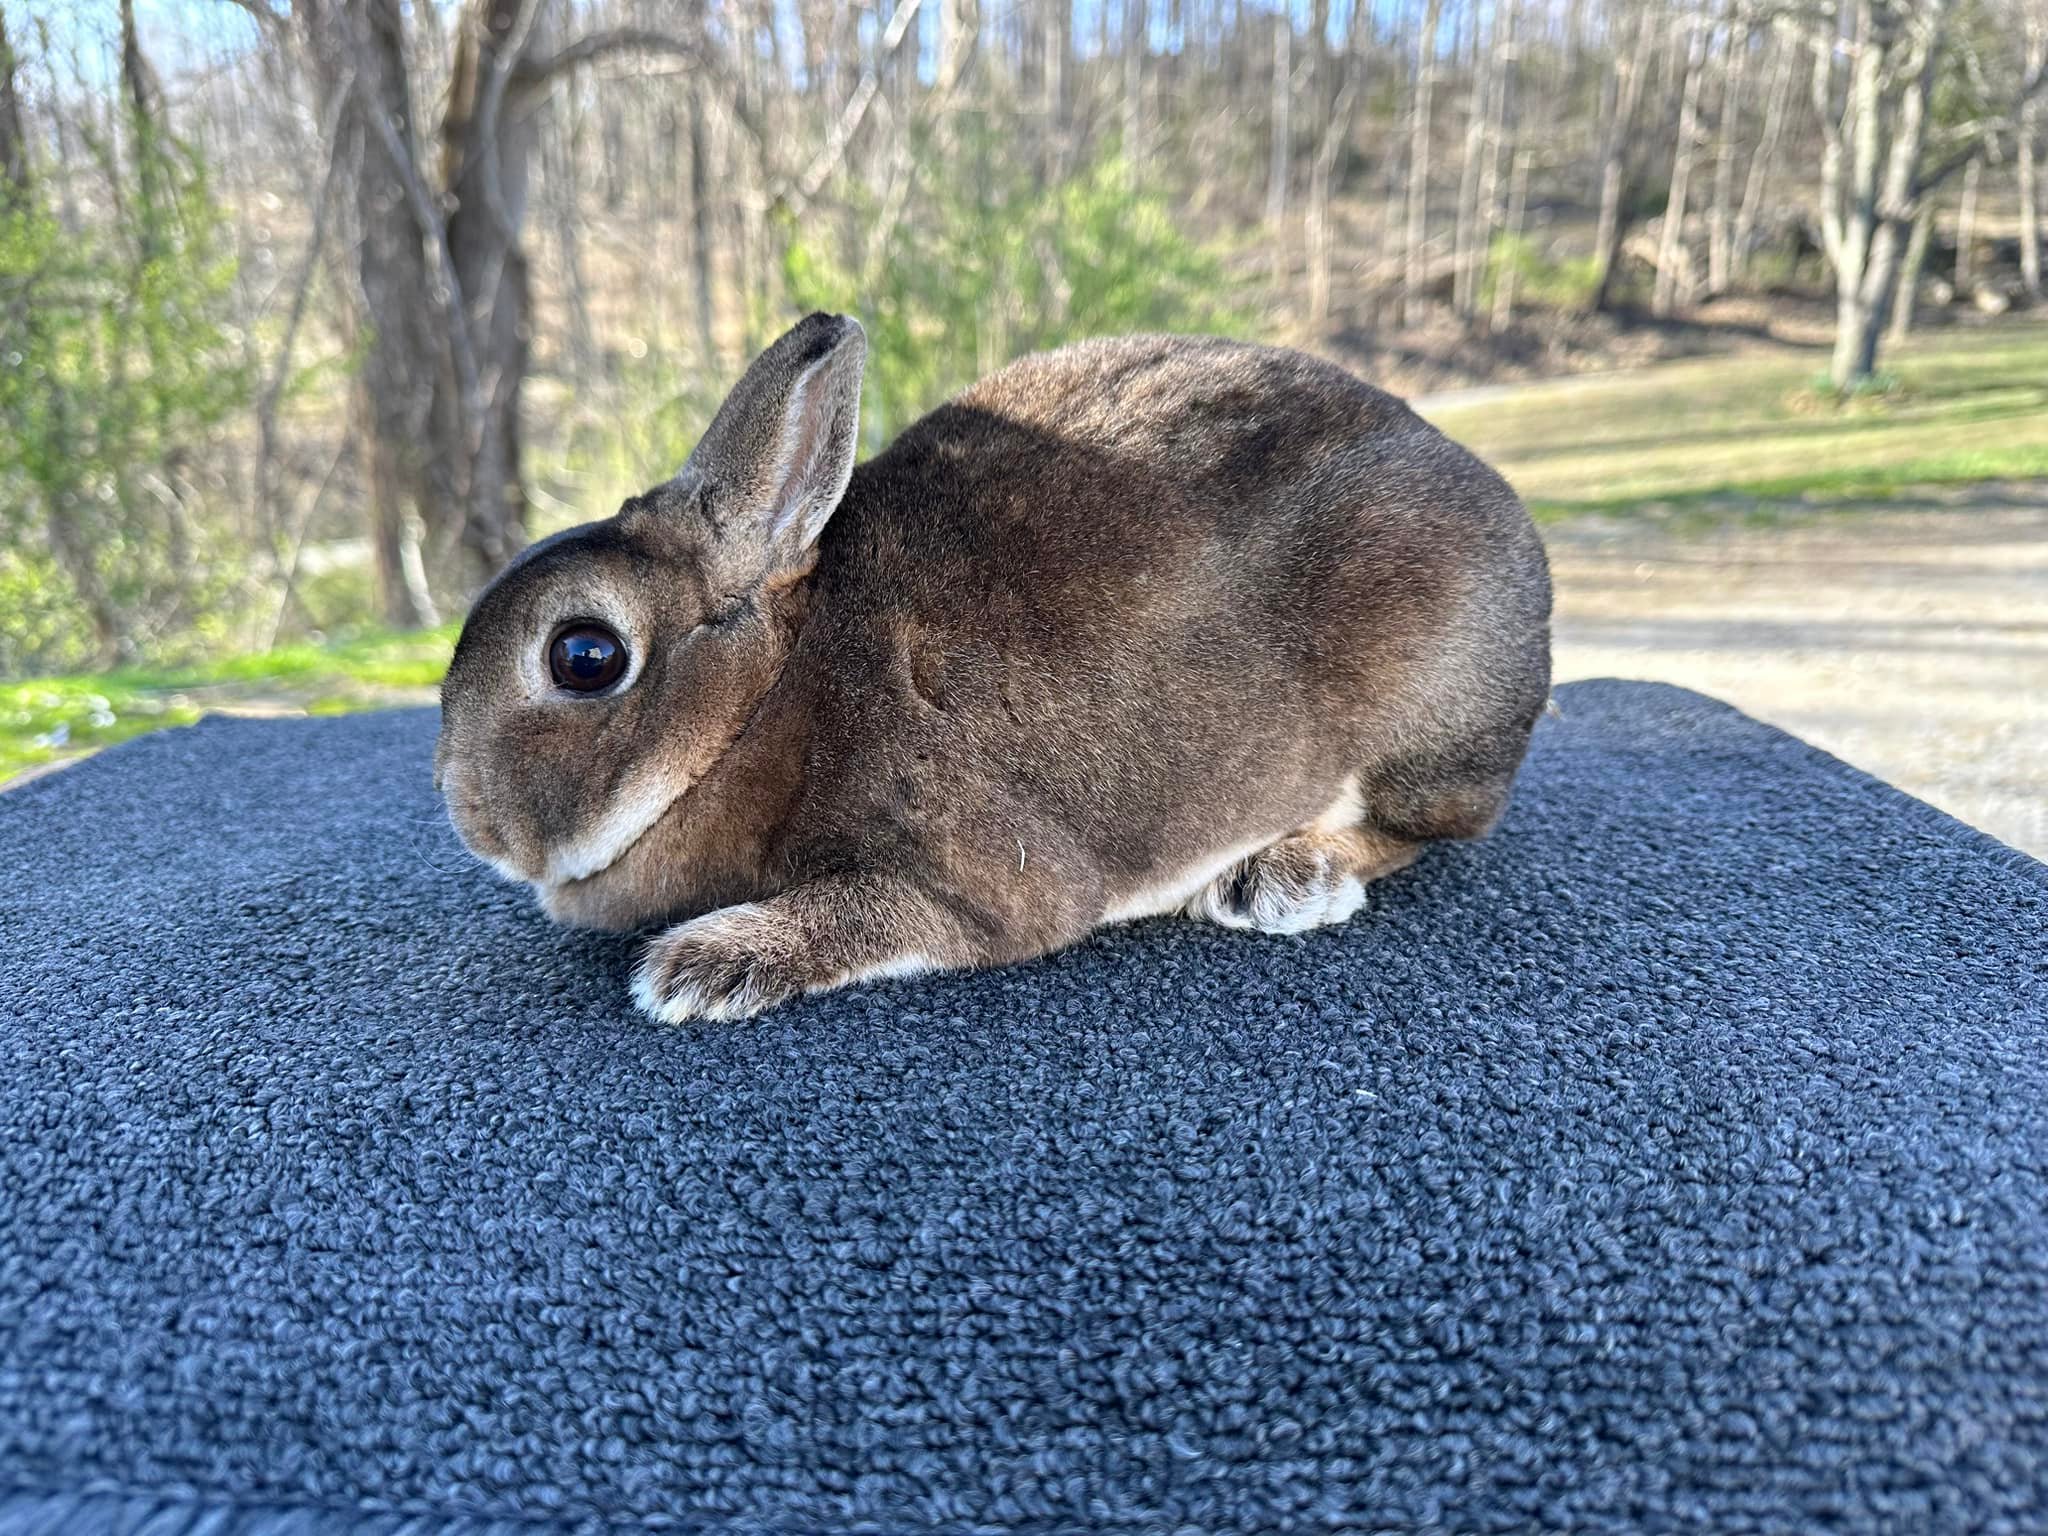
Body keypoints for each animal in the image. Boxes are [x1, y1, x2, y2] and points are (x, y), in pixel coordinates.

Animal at [434, 313, 1552, 1023]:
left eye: (584, 656)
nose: (469, 817)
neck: (761, 699)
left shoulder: (978, 873)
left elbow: (891, 917)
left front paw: (703, 966)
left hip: (1420, 695)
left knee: (1425, 828)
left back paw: (1285, 877)